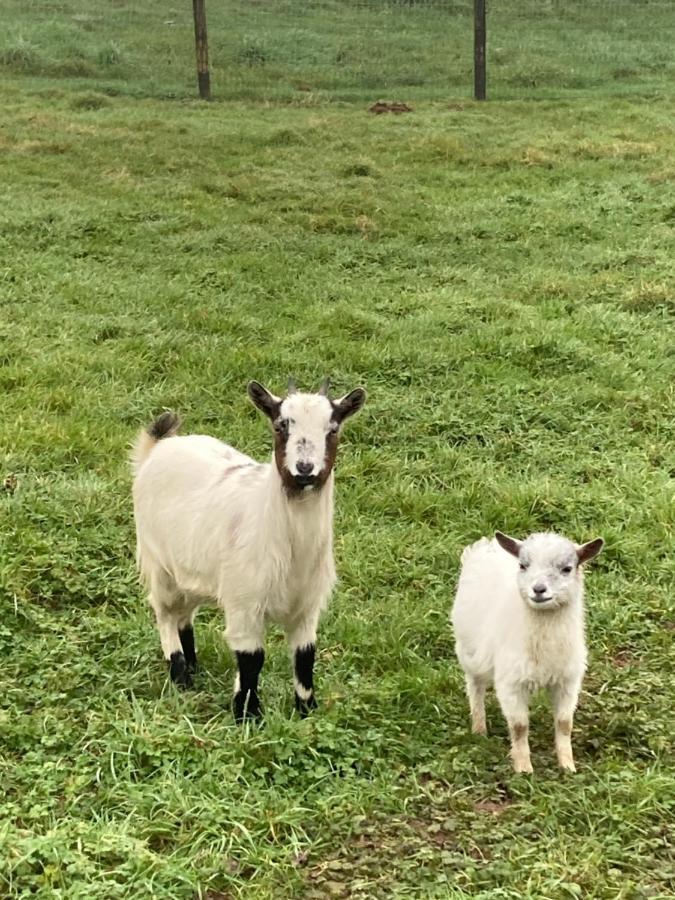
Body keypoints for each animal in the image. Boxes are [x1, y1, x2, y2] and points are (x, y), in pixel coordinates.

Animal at [130, 376, 368, 720]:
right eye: (281, 425)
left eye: (333, 428)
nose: (304, 469)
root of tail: (157, 448)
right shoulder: (245, 600)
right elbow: (252, 657)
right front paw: (248, 715)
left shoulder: (308, 604)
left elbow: (305, 655)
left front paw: (306, 709)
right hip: (158, 561)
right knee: (164, 611)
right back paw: (180, 674)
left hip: (193, 571)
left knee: (184, 613)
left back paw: (193, 665)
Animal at [452, 528, 604, 772]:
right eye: (523, 565)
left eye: (567, 568)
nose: (538, 590)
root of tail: (488, 544)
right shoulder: (510, 683)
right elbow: (519, 726)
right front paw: (523, 768)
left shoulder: (568, 682)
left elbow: (564, 724)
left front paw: (567, 766)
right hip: (469, 651)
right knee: (475, 687)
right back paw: (479, 729)